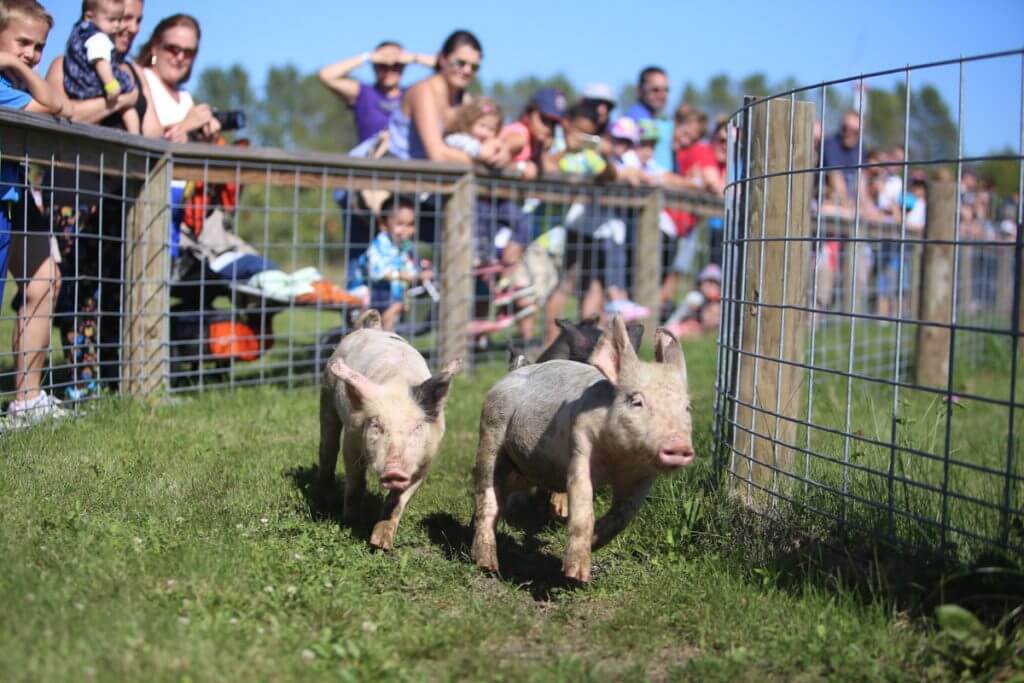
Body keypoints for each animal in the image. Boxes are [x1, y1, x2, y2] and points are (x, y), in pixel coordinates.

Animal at [319, 309, 461, 551]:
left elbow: (397, 501)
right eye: (376, 424)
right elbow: (356, 483)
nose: (394, 470)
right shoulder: (352, 438)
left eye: (417, 427)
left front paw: (381, 545)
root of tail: (373, 328)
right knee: (327, 447)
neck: (397, 384)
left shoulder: (425, 461)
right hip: (327, 396)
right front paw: (349, 523)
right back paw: (325, 494)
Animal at [471, 316, 694, 582]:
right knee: (487, 496)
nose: (678, 445)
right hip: (491, 431)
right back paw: (487, 566)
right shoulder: (580, 447)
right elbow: (582, 507)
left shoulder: (643, 477)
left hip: (524, 467)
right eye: (636, 401)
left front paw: (594, 543)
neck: (619, 459)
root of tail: (513, 373)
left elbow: (623, 515)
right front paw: (576, 576)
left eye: (687, 407)